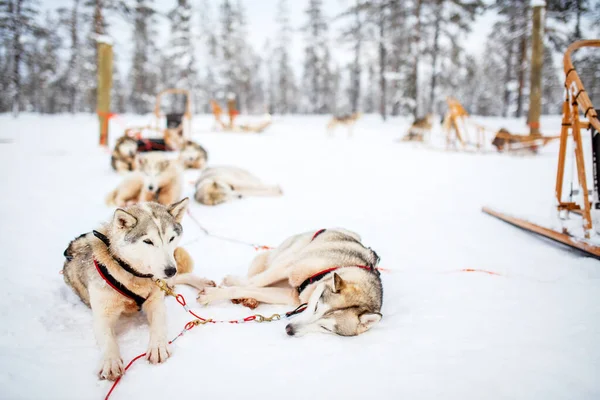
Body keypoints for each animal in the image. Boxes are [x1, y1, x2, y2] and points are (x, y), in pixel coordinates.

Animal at [62, 200, 216, 382]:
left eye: (171, 238)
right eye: (148, 241)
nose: (170, 270)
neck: (133, 274)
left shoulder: (156, 302)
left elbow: (158, 326)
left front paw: (157, 347)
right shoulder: (103, 315)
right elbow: (108, 340)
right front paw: (111, 362)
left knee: (178, 279)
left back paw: (202, 283)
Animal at [198, 228, 384, 338]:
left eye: (326, 328)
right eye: (316, 306)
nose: (289, 330)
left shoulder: (291, 295)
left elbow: (254, 289)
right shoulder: (290, 267)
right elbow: (253, 283)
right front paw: (214, 293)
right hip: (281, 256)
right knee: (256, 275)